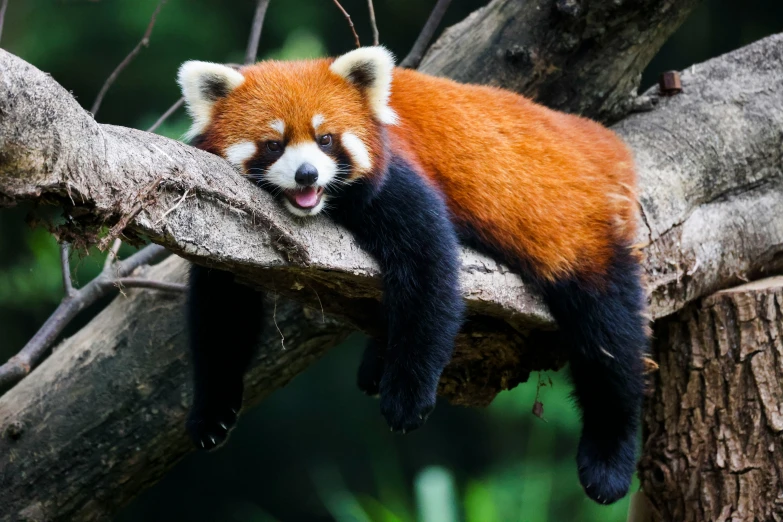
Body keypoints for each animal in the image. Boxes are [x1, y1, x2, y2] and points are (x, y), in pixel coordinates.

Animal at [179, 45, 648, 504]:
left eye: (325, 139)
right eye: (274, 144)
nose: (306, 174)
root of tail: (601, 141)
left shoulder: (398, 179)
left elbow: (429, 276)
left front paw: (407, 398)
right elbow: (221, 309)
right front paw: (211, 412)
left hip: (581, 237)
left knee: (610, 340)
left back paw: (609, 461)